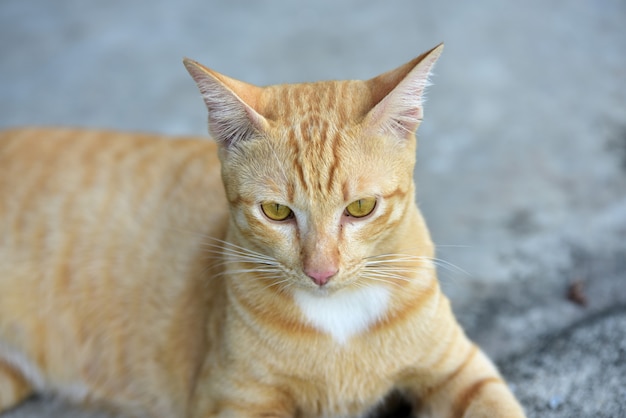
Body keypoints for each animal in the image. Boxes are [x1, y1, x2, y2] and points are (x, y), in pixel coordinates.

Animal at [0, 43, 524, 418]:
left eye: (360, 207)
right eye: (276, 211)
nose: (320, 272)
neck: (339, 317)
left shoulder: (460, 370)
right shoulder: (233, 400)